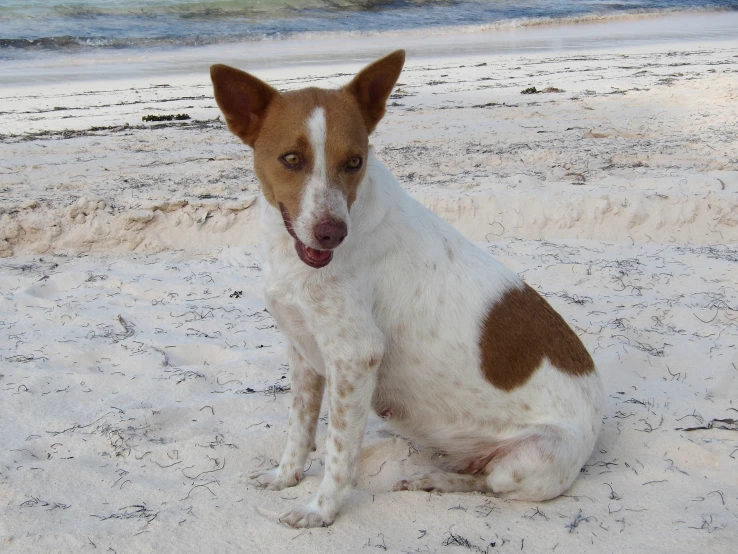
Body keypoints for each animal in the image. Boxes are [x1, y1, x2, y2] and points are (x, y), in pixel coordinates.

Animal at [210, 48, 600, 528]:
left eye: (354, 162)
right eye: (291, 159)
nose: (331, 234)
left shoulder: (355, 357)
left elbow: (339, 454)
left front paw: (322, 510)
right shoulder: (303, 352)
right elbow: (298, 430)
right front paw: (286, 477)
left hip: (533, 458)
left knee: (489, 483)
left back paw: (435, 481)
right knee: (477, 475)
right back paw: (433, 477)